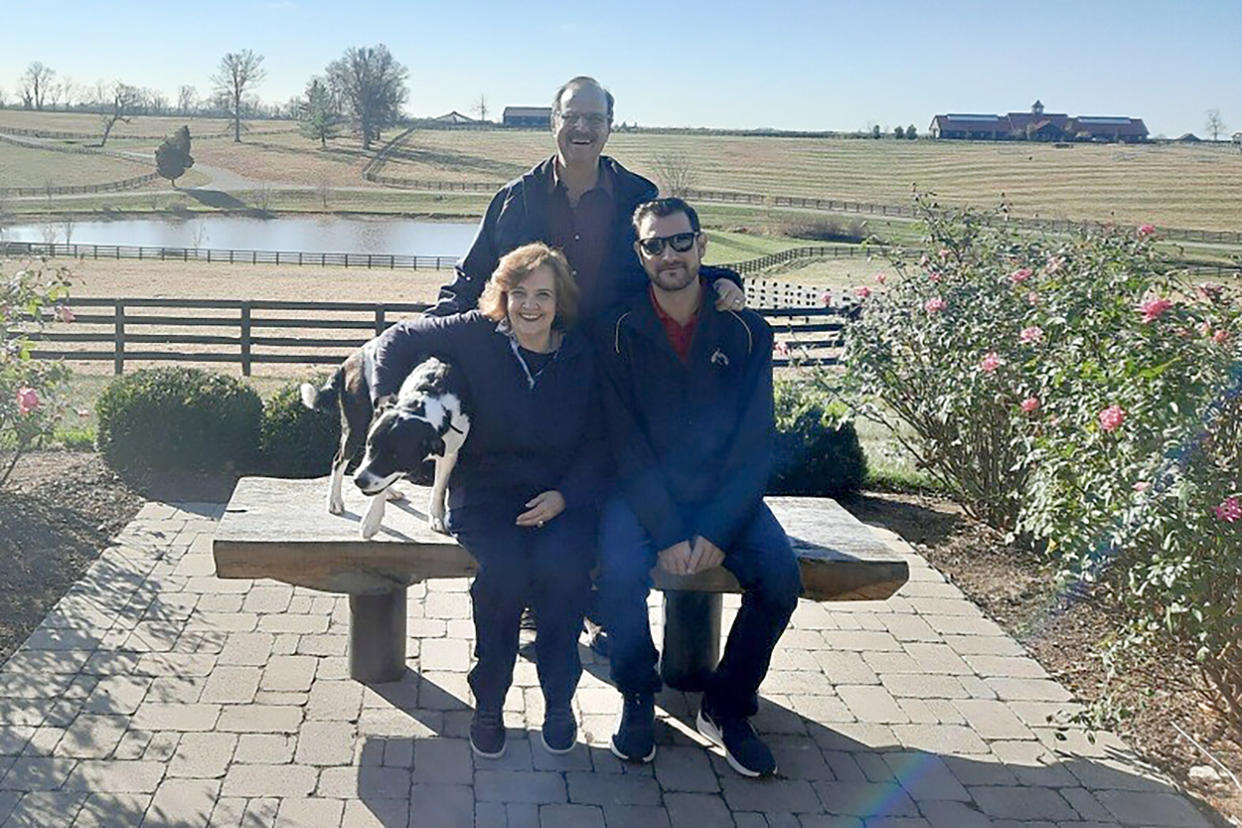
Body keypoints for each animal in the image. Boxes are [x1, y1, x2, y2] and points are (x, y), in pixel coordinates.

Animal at [300, 340, 469, 541]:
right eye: (370, 446)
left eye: (395, 456)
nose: (359, 481)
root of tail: (351, 359)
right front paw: (371, 521)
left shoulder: (449, 452)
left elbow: (439, 487)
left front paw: (436, 516)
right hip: (356, 426)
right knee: (339, 460)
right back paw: (335, 500)